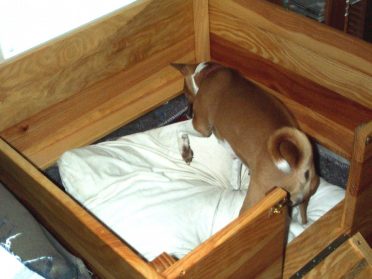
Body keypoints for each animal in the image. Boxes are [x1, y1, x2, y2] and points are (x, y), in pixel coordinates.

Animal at [172, 62, 320, 224]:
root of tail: (300, 166)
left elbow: (179, 129)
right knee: (303, 220)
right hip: (304, 201)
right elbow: (235, 178)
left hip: (256, 199)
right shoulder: (235, 154)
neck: (210, 72)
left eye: (185, 94)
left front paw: (185, 151)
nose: (187, 114)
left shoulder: (201, 127)